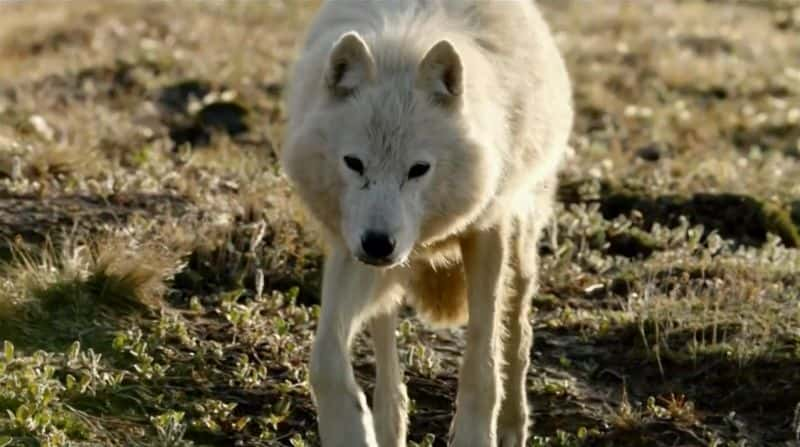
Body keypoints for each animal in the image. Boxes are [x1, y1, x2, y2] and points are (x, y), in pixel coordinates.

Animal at [278, 0, 572, 447]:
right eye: (354, 163)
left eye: (418, 169)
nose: (378, 243)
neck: (402, 43)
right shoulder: (351, 246)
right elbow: (326, 356)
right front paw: (351, 429)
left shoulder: (486, 233)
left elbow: (483, 362)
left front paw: (474, 437)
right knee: (386, 346)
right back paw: (389, 426)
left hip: (521, 247)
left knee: (518, 336)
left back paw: (512, 425)